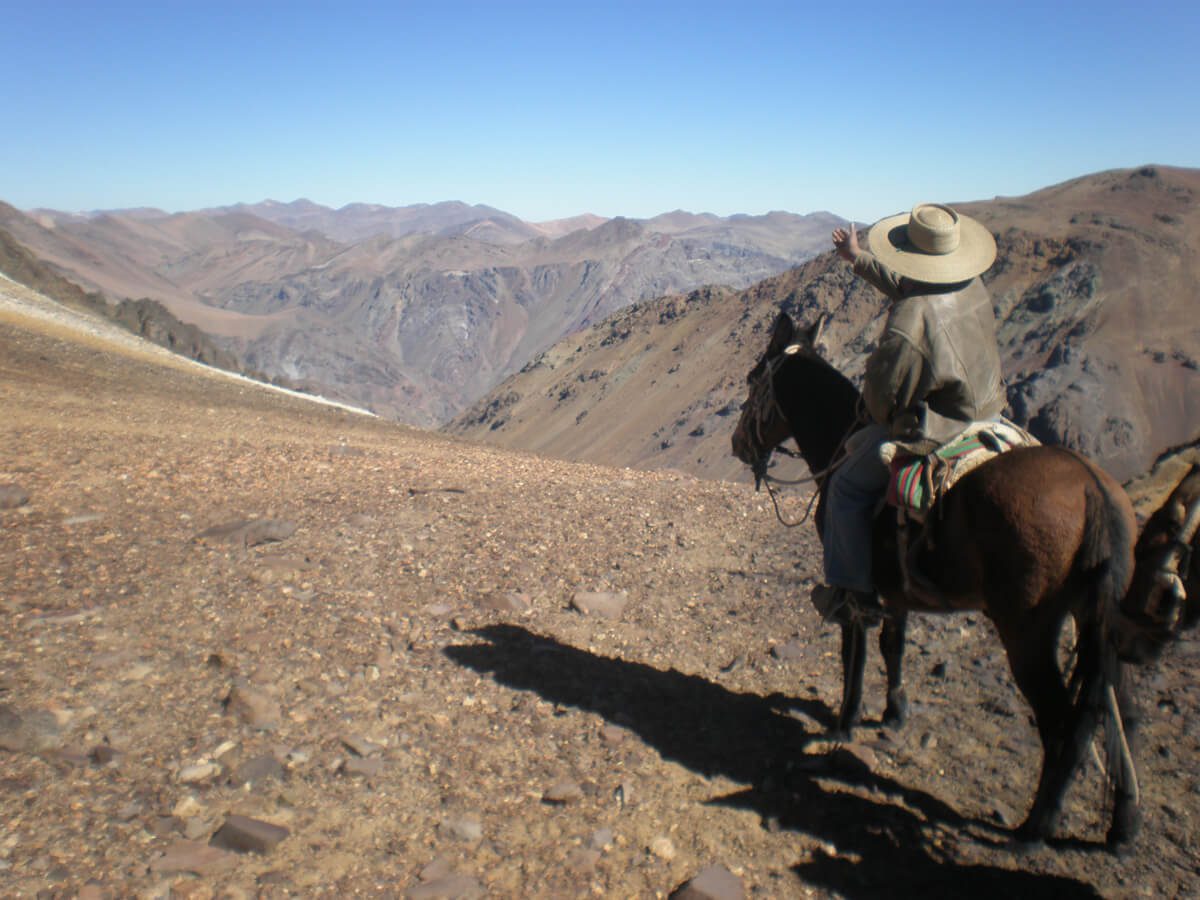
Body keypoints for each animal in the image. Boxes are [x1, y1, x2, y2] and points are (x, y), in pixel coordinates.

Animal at [729, 309, 1142, 844]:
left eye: (753, 377)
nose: (738, 444)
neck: (839, 437)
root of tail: (1094, 490)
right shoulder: (895, 589)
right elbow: (894, 645)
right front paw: (894, 713)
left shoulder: (853, 580)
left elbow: (855, 650)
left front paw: (843, 723)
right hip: (1096, 619)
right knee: (1115, 706)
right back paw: (1124, 823)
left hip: (1028, 631)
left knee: (1061, 722)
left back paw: (1035, 826)